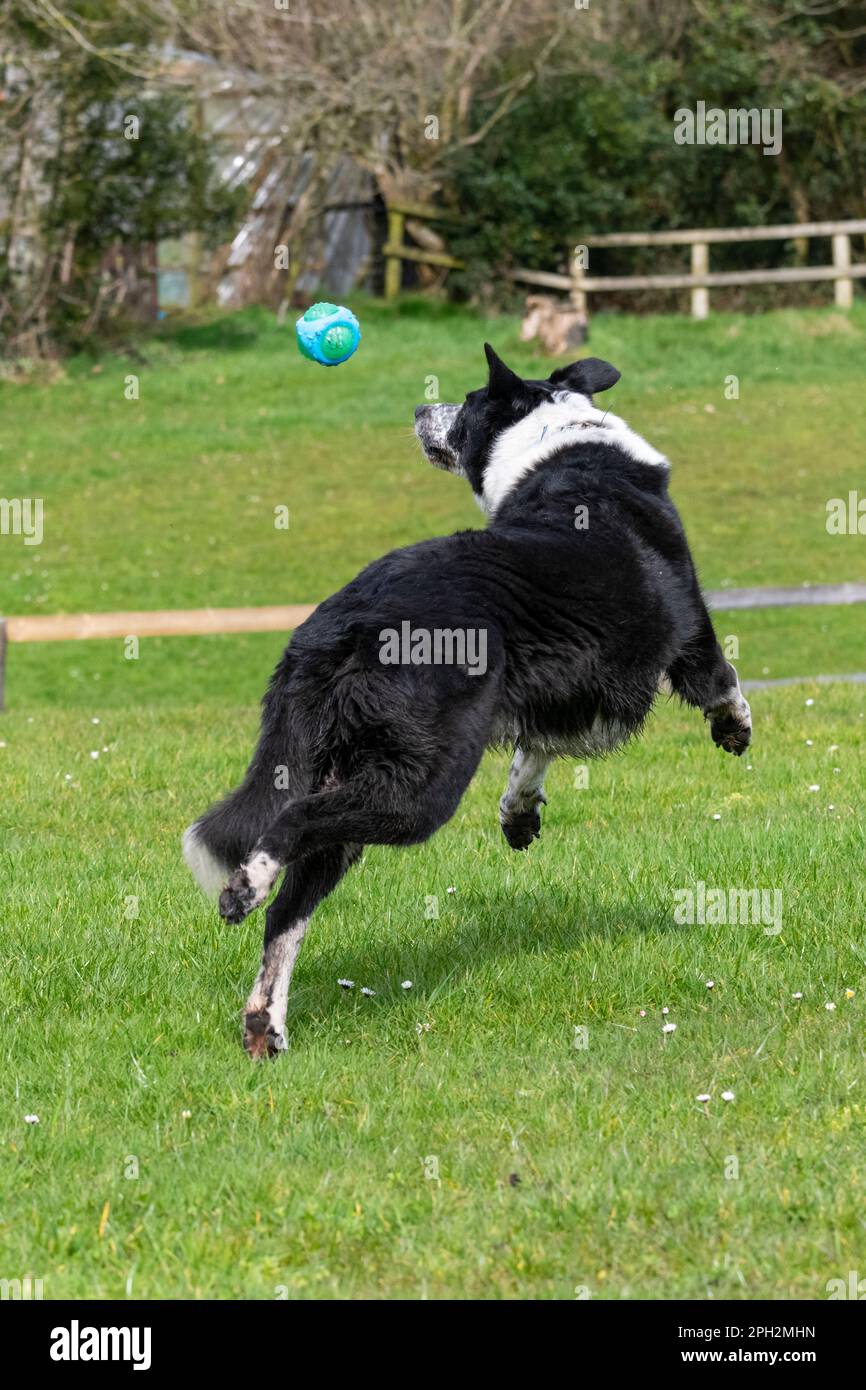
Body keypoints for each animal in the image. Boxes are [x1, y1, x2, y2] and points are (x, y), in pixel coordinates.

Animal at [184, 344, 750, 1050]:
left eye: (468, 401)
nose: (418, 407)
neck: (556, 439)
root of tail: (342, 617)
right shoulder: (691, 631)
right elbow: (722, 682)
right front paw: (735, 729)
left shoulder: (554, 691)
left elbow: (534, 754)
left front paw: (519, 813)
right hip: (424, 784)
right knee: (293, 823)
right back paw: (245, 887)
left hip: (349, 773)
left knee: (289, 911)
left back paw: (266, 1024)